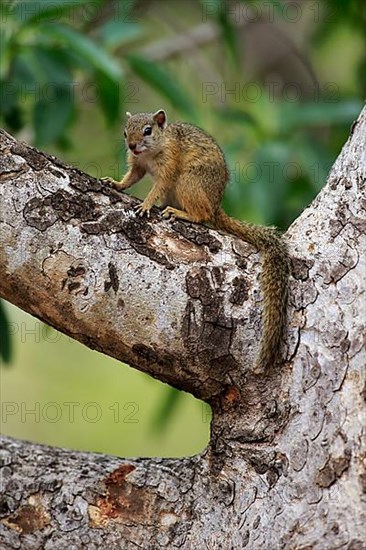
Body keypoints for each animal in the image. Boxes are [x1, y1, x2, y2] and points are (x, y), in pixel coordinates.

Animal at [102, 109, 288, 370]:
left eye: (148, 130)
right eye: (125, 131)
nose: (131, 146)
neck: (153, 150)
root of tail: (215, 205)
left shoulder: (169, 165)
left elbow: (158, 186)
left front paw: (146, 204)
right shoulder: (137, 164)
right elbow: (131, 177)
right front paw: (115, 183)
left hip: (188, 183)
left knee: (202, 215)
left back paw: (181, 213)